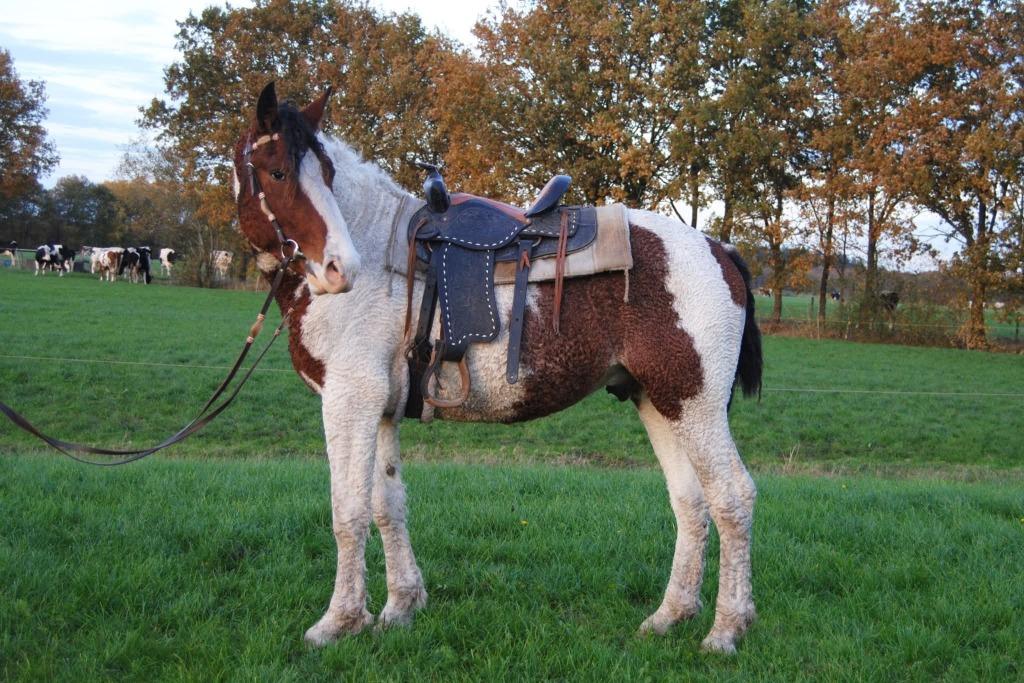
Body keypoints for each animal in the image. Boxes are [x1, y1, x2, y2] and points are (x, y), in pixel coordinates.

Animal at [231, 83, 763, 654]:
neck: (378, 250)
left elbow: (347, 511)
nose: (338, 268)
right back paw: (670, 616)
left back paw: (727, 629)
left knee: (732, 498)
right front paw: (399, 608)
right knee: (690, 501)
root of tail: (719, 249)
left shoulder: (349, 400)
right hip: (659, 403)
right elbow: (386, 504)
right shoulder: (380, 411)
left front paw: (339, 621)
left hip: (695, 404)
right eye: (278, 173)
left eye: (325, 174)